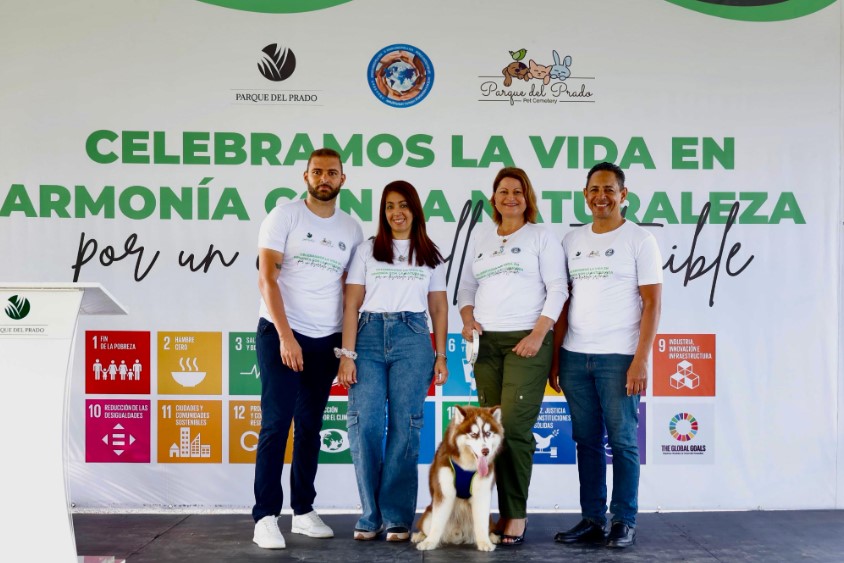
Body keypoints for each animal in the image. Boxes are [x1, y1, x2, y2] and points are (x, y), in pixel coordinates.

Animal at [414, 406, 504, 552]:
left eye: (488, 433)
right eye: (473, 434)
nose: (485, 451)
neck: (467, 466)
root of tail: (458, 533)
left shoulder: (482, 494)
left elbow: (481, 521)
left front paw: (484, 542)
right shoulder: (444, 492)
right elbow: (437, 523)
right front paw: (430, 542)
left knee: (488, 525)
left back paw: (492, 536)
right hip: (428, 515)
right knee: (427, 526)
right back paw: (420, 536)